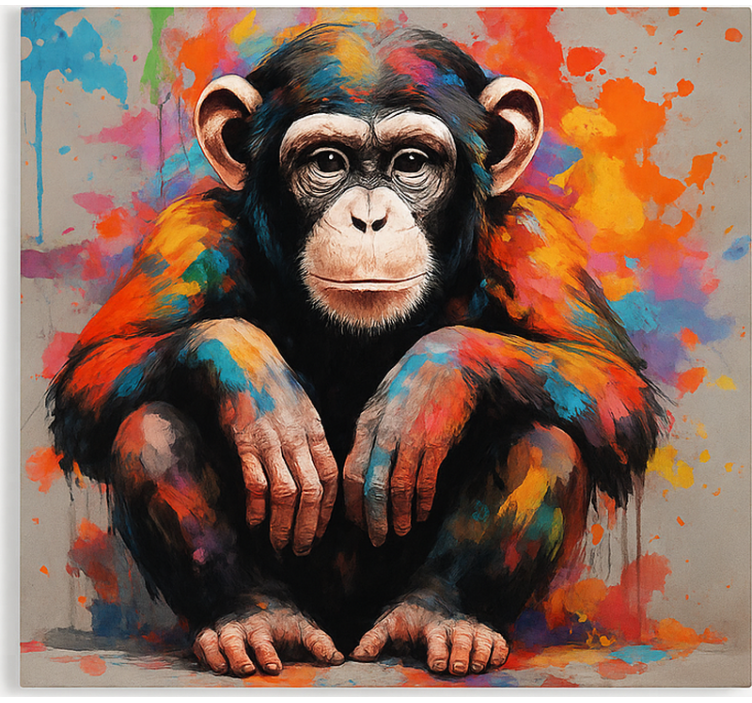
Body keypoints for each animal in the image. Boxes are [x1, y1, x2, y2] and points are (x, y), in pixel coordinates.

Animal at [48, 25, 661, 677]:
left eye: (411, 163)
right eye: (327, 162)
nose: (369, 219)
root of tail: (346, 636)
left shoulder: (533, 234)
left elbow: (611, 382)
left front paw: (429, 383)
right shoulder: (188, 230)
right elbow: (95, 369)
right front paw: (252, 377)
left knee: (546, 432)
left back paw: (445, 618)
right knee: (151, 425)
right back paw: (255, 617)